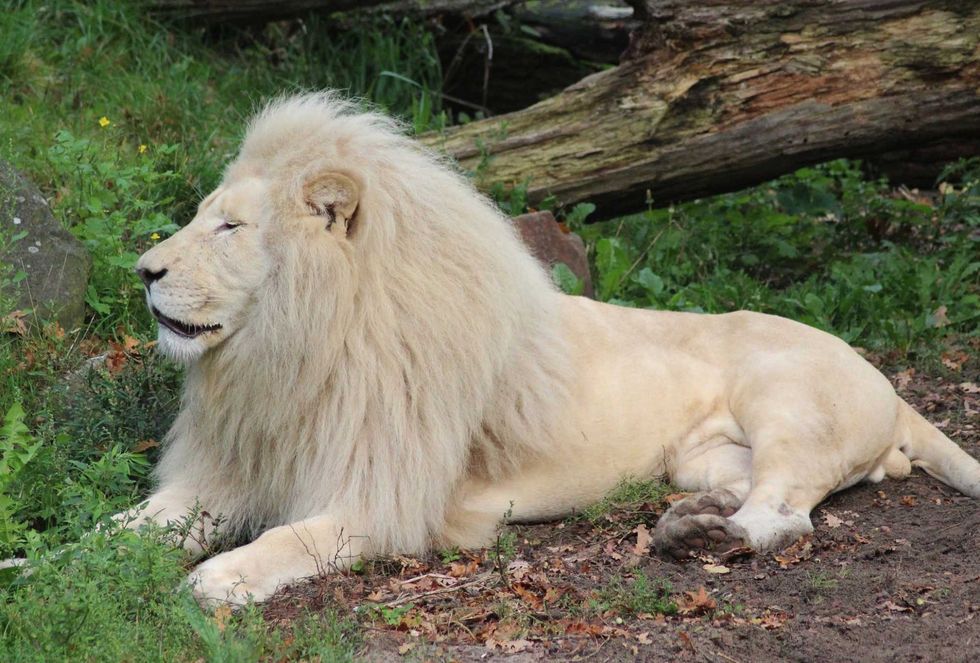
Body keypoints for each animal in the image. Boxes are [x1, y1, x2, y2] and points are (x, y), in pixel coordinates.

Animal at [129, 93, 980, 605]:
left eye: (229, 227)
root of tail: (890, 384)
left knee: (785, 517)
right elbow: (143, 522)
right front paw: (97, 552)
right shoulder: (237, 463)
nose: (143, 270)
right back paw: (691, 520)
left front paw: (220, 575)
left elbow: (288, 536)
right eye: (205, 215)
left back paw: (703, 536)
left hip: (787, 403)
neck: (284, 352)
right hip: (700, 458)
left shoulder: (388, 499)